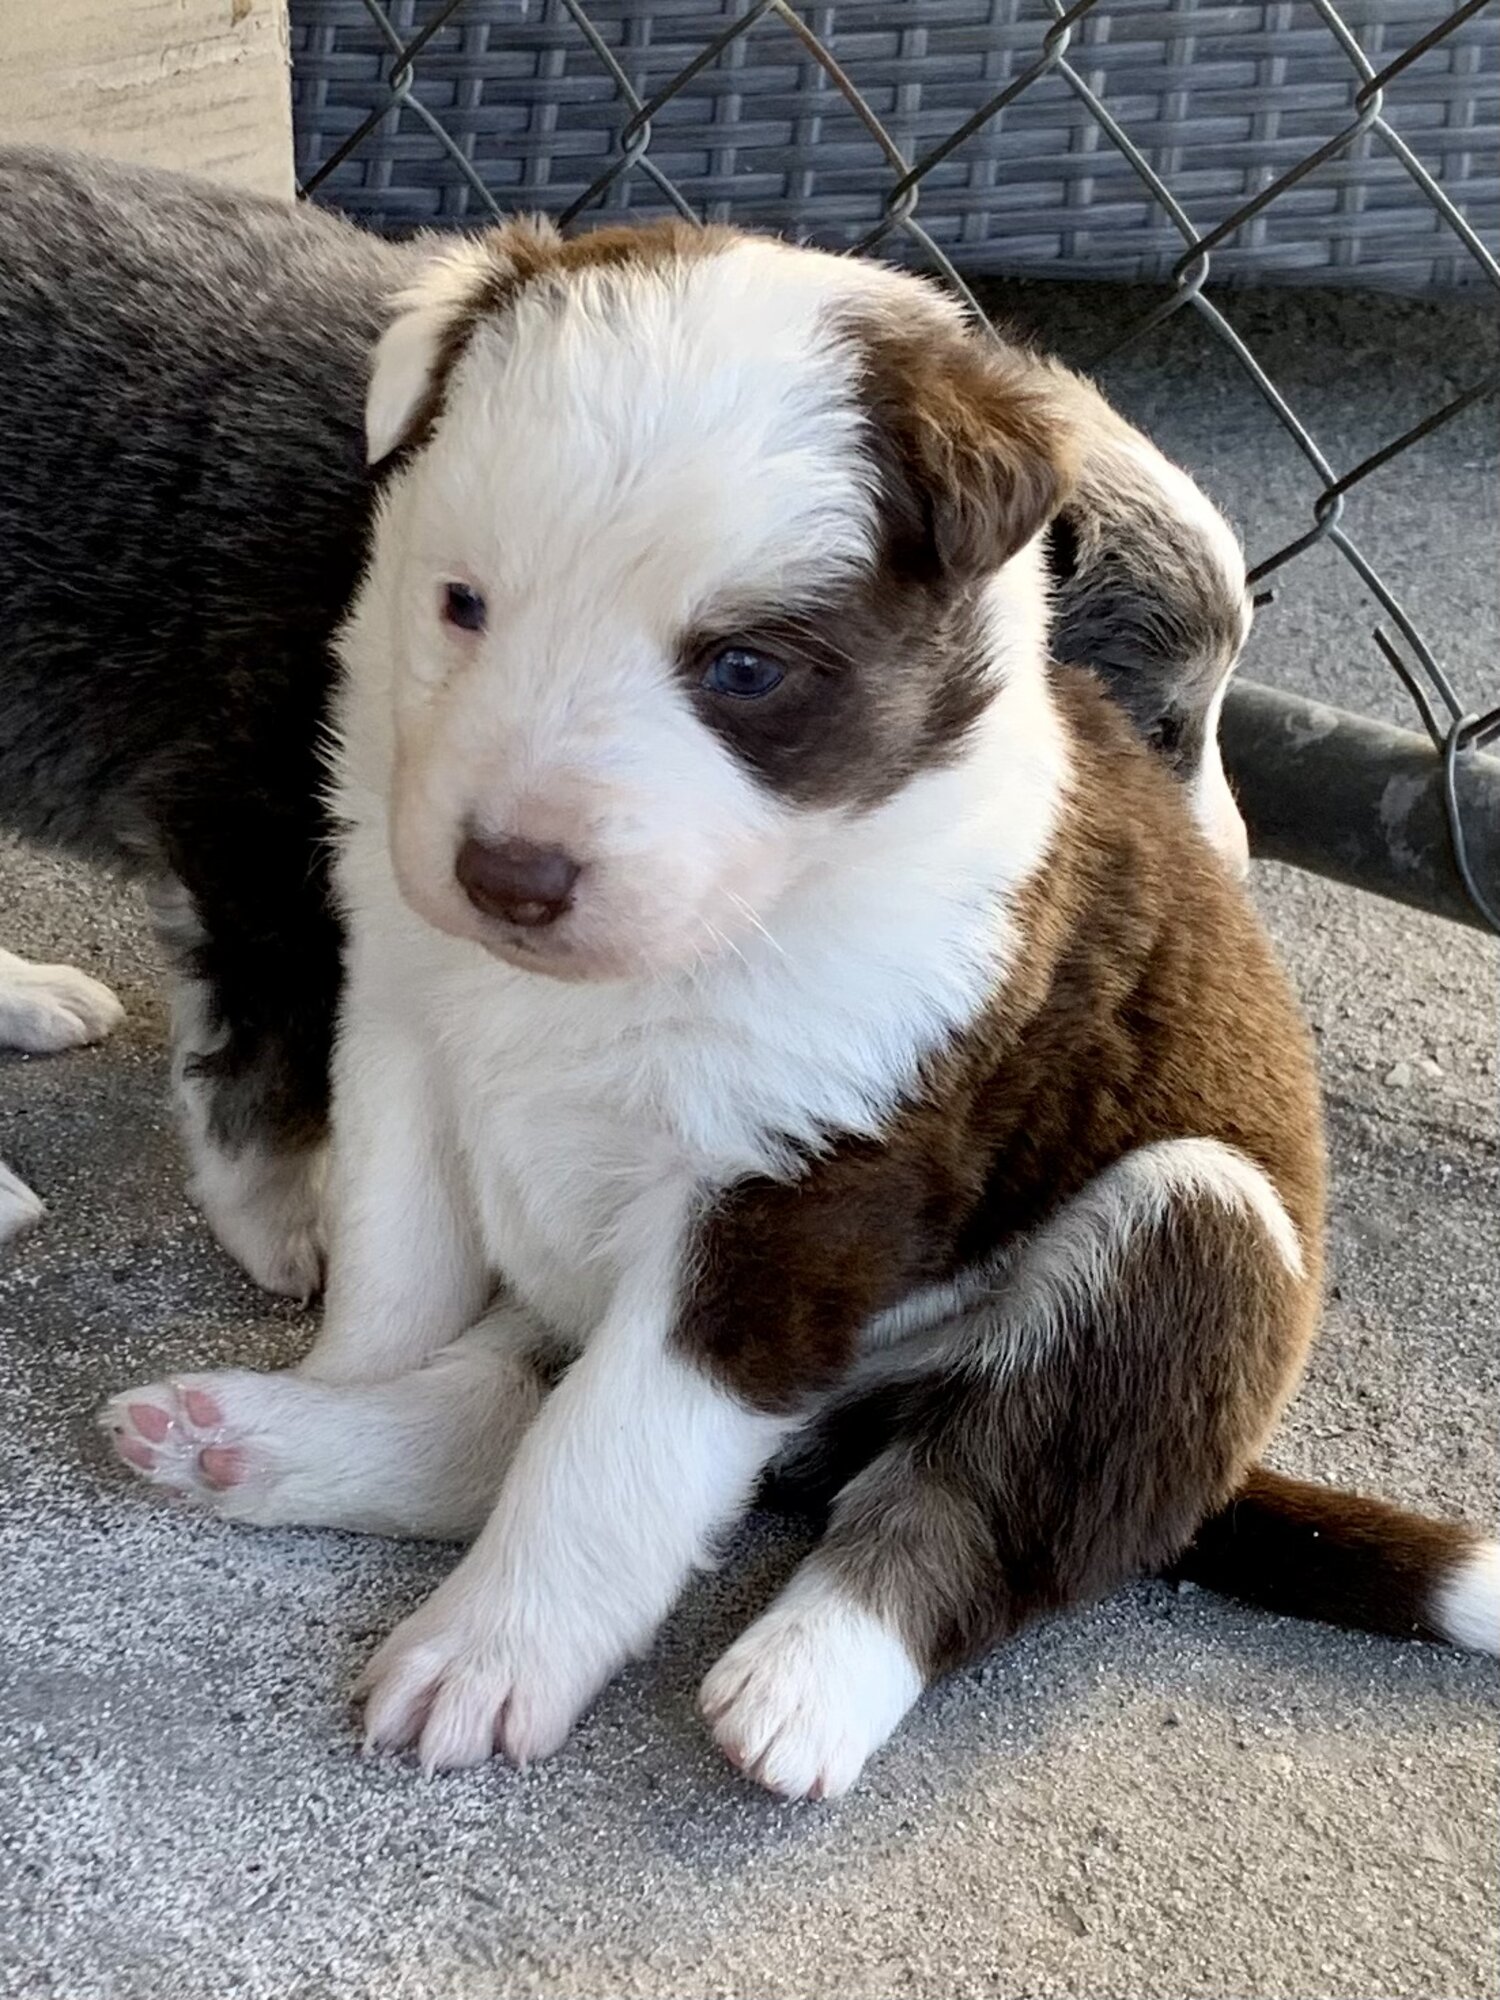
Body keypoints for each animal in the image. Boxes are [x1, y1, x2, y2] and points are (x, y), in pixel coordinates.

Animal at [100, 219, 1496, 1800]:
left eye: (744, 669)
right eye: (462, 603)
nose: (507, 873)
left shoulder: (803, 1192)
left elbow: (615, 1453)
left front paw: (491, 1657)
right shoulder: (404, 1039)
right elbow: (400, 1282)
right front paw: (341, 1389)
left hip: (1202, 1238)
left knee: (972, 1499)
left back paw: (811, 1673)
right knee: (505, 1405)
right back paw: (253, 1441)